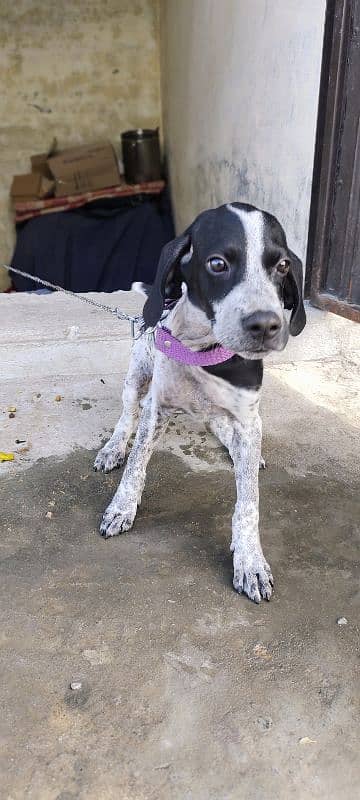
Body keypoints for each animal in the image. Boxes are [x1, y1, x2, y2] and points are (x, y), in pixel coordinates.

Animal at [94, 203, 306, 604]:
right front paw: (122, 507)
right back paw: (113, 448)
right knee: (126, 418)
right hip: (136, 376)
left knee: (226, 432)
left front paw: (250, 560)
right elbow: (136, 466)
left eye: (283, 265)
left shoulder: (248, 417)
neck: (205, 351)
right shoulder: (156, 408)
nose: (266, 326)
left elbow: (248, 503)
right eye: (218, 263)